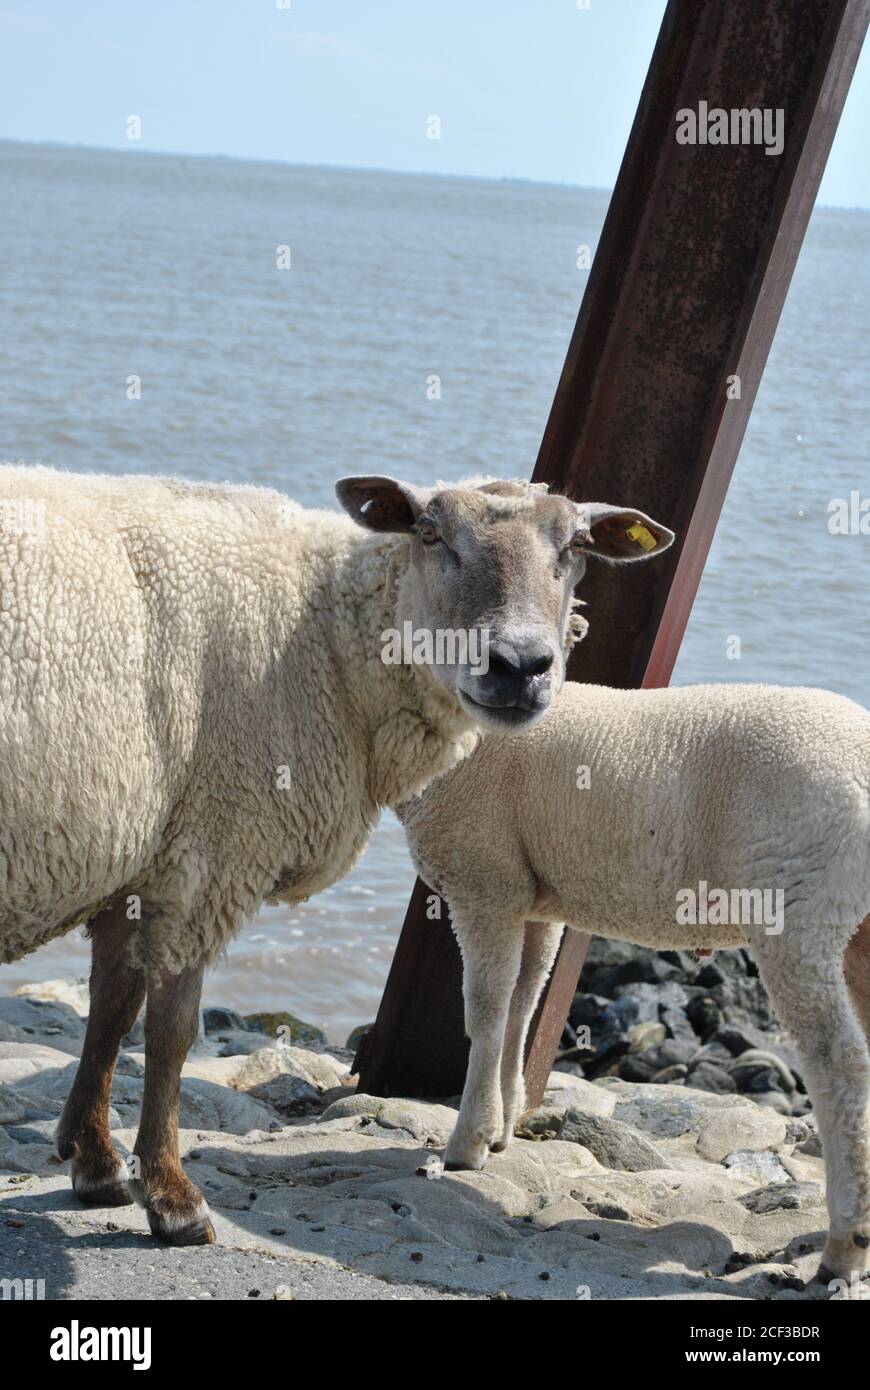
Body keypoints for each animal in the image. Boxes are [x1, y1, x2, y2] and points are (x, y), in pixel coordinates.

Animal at [0, 463, 672, 1244]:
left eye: (577, 548)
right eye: (431, 533)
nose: (520, 666)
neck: (323, 632)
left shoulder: (146, 852)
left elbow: (112, 1005)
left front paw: (95, 1160)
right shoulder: (212, 847)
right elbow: (171, 1029)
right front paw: (171, 1194)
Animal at [400, 678, 870, 1283]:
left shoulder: (484, 881)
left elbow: (485, 1010)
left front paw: (468, 1143)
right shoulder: (531, 895)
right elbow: (523, 1003)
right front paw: (503, 1126)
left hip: (799, 905)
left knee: (838, 1063)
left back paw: (843, 1246)